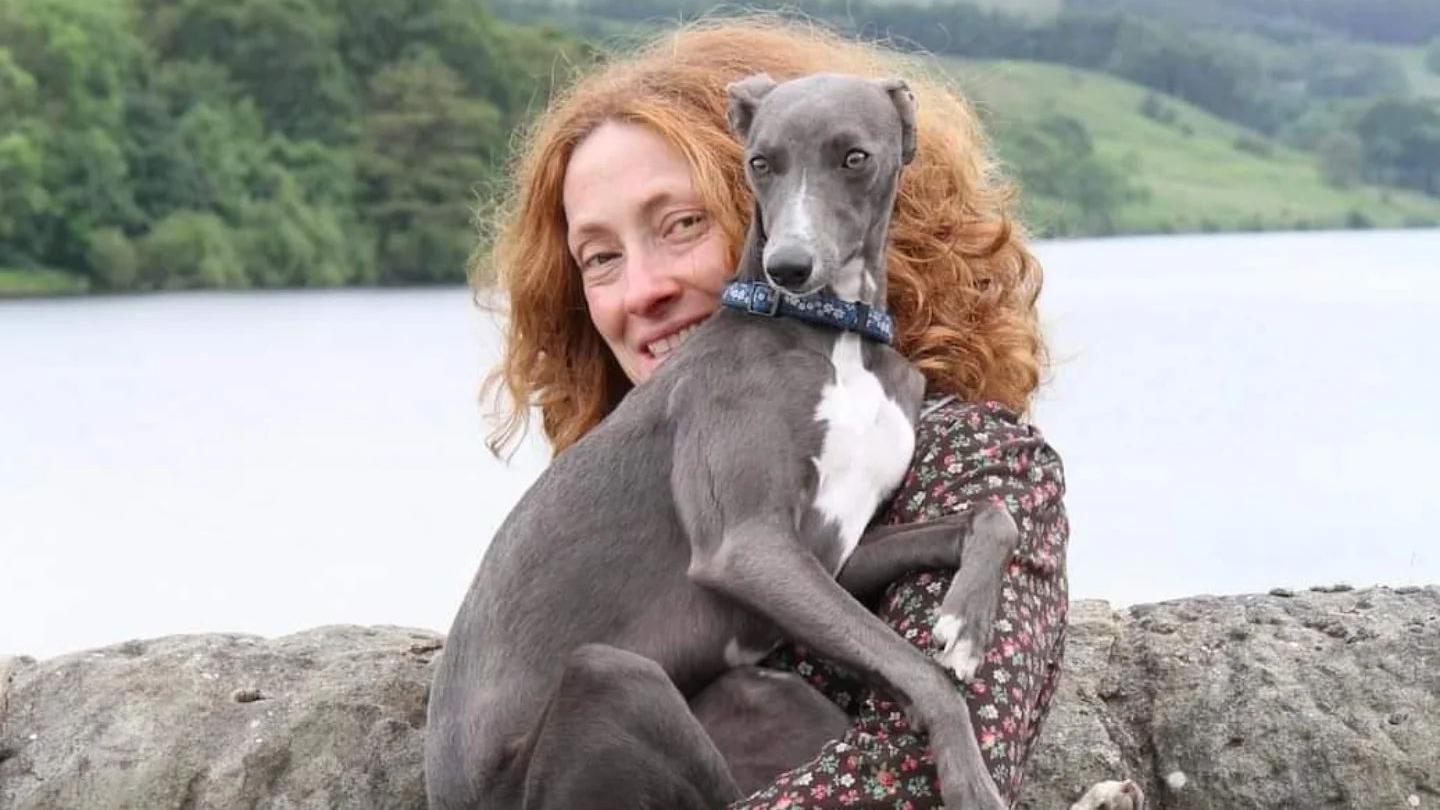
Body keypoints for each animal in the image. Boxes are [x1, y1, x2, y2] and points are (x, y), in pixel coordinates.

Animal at [420, 74, 1019, 807]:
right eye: (760, 162)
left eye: (854, 156)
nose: (789, 265)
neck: (835, 335)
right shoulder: (747, 546)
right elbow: (922, 671)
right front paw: (970, 778)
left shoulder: (828, 556)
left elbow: (994, 514)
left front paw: (965, 622)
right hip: (613, 676)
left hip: (765, 693)